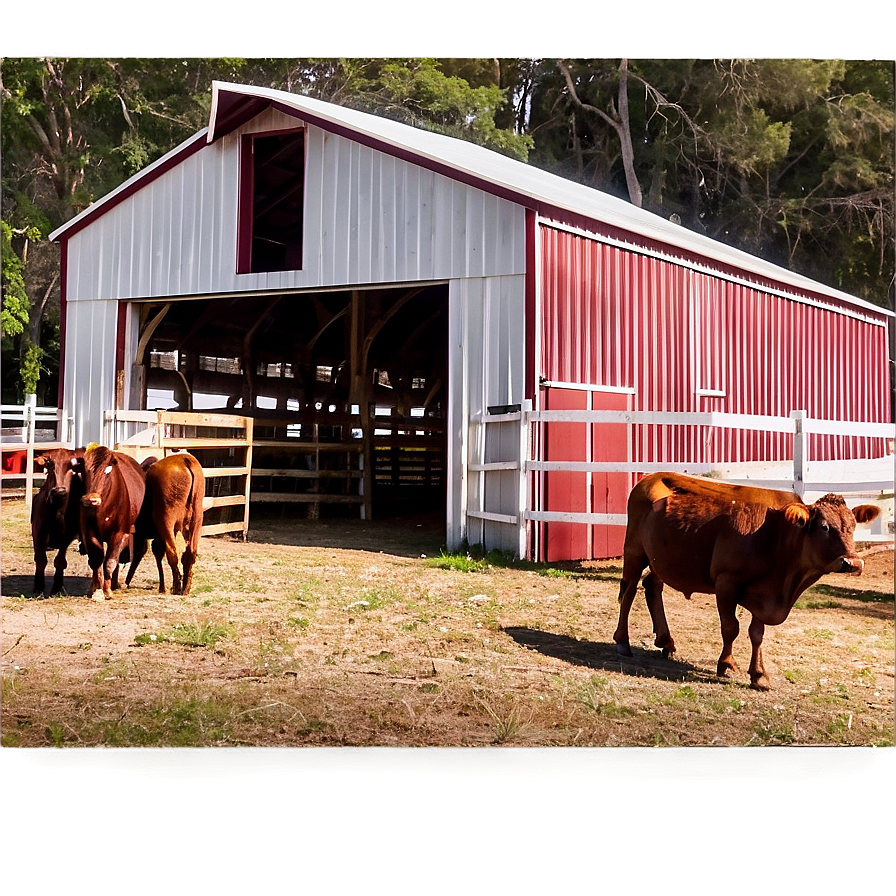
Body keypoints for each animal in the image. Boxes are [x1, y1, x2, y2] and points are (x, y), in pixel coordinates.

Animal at [31, 446, 86, 596]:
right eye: (50, 465)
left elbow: (60, 561)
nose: (60, 489)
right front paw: (38, 586)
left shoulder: (67, 538)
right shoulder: (38, 533)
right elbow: (41, 560)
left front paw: (57, 586)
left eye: (71, 467)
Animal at [77, 442, 147, 600]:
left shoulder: (120, 533)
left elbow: (110, 562)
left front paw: (107, 590)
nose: (91, 499)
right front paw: (95, 588)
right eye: (84, 471)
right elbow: (96, 559)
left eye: (107, 471)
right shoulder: (89, 533)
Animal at [125, 456, 206, 596]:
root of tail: (185, 459)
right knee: (189, 553)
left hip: (166, 518)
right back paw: (185, 587)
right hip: (197, 516)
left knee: (172, 553)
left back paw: (177, 586)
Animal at [612, 472, 880, 688]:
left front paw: (759, 674)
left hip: (661, 559)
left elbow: (756, 633)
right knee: (628, 591)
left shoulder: (764, 593)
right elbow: (731, 627)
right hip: (634, 551)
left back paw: (666, 641)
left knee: (652, 585)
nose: (853, 563)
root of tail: (650, 478)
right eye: (824, 527)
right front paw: (727, 664)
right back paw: (623, 642)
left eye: (852, 526)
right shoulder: (726, 582)